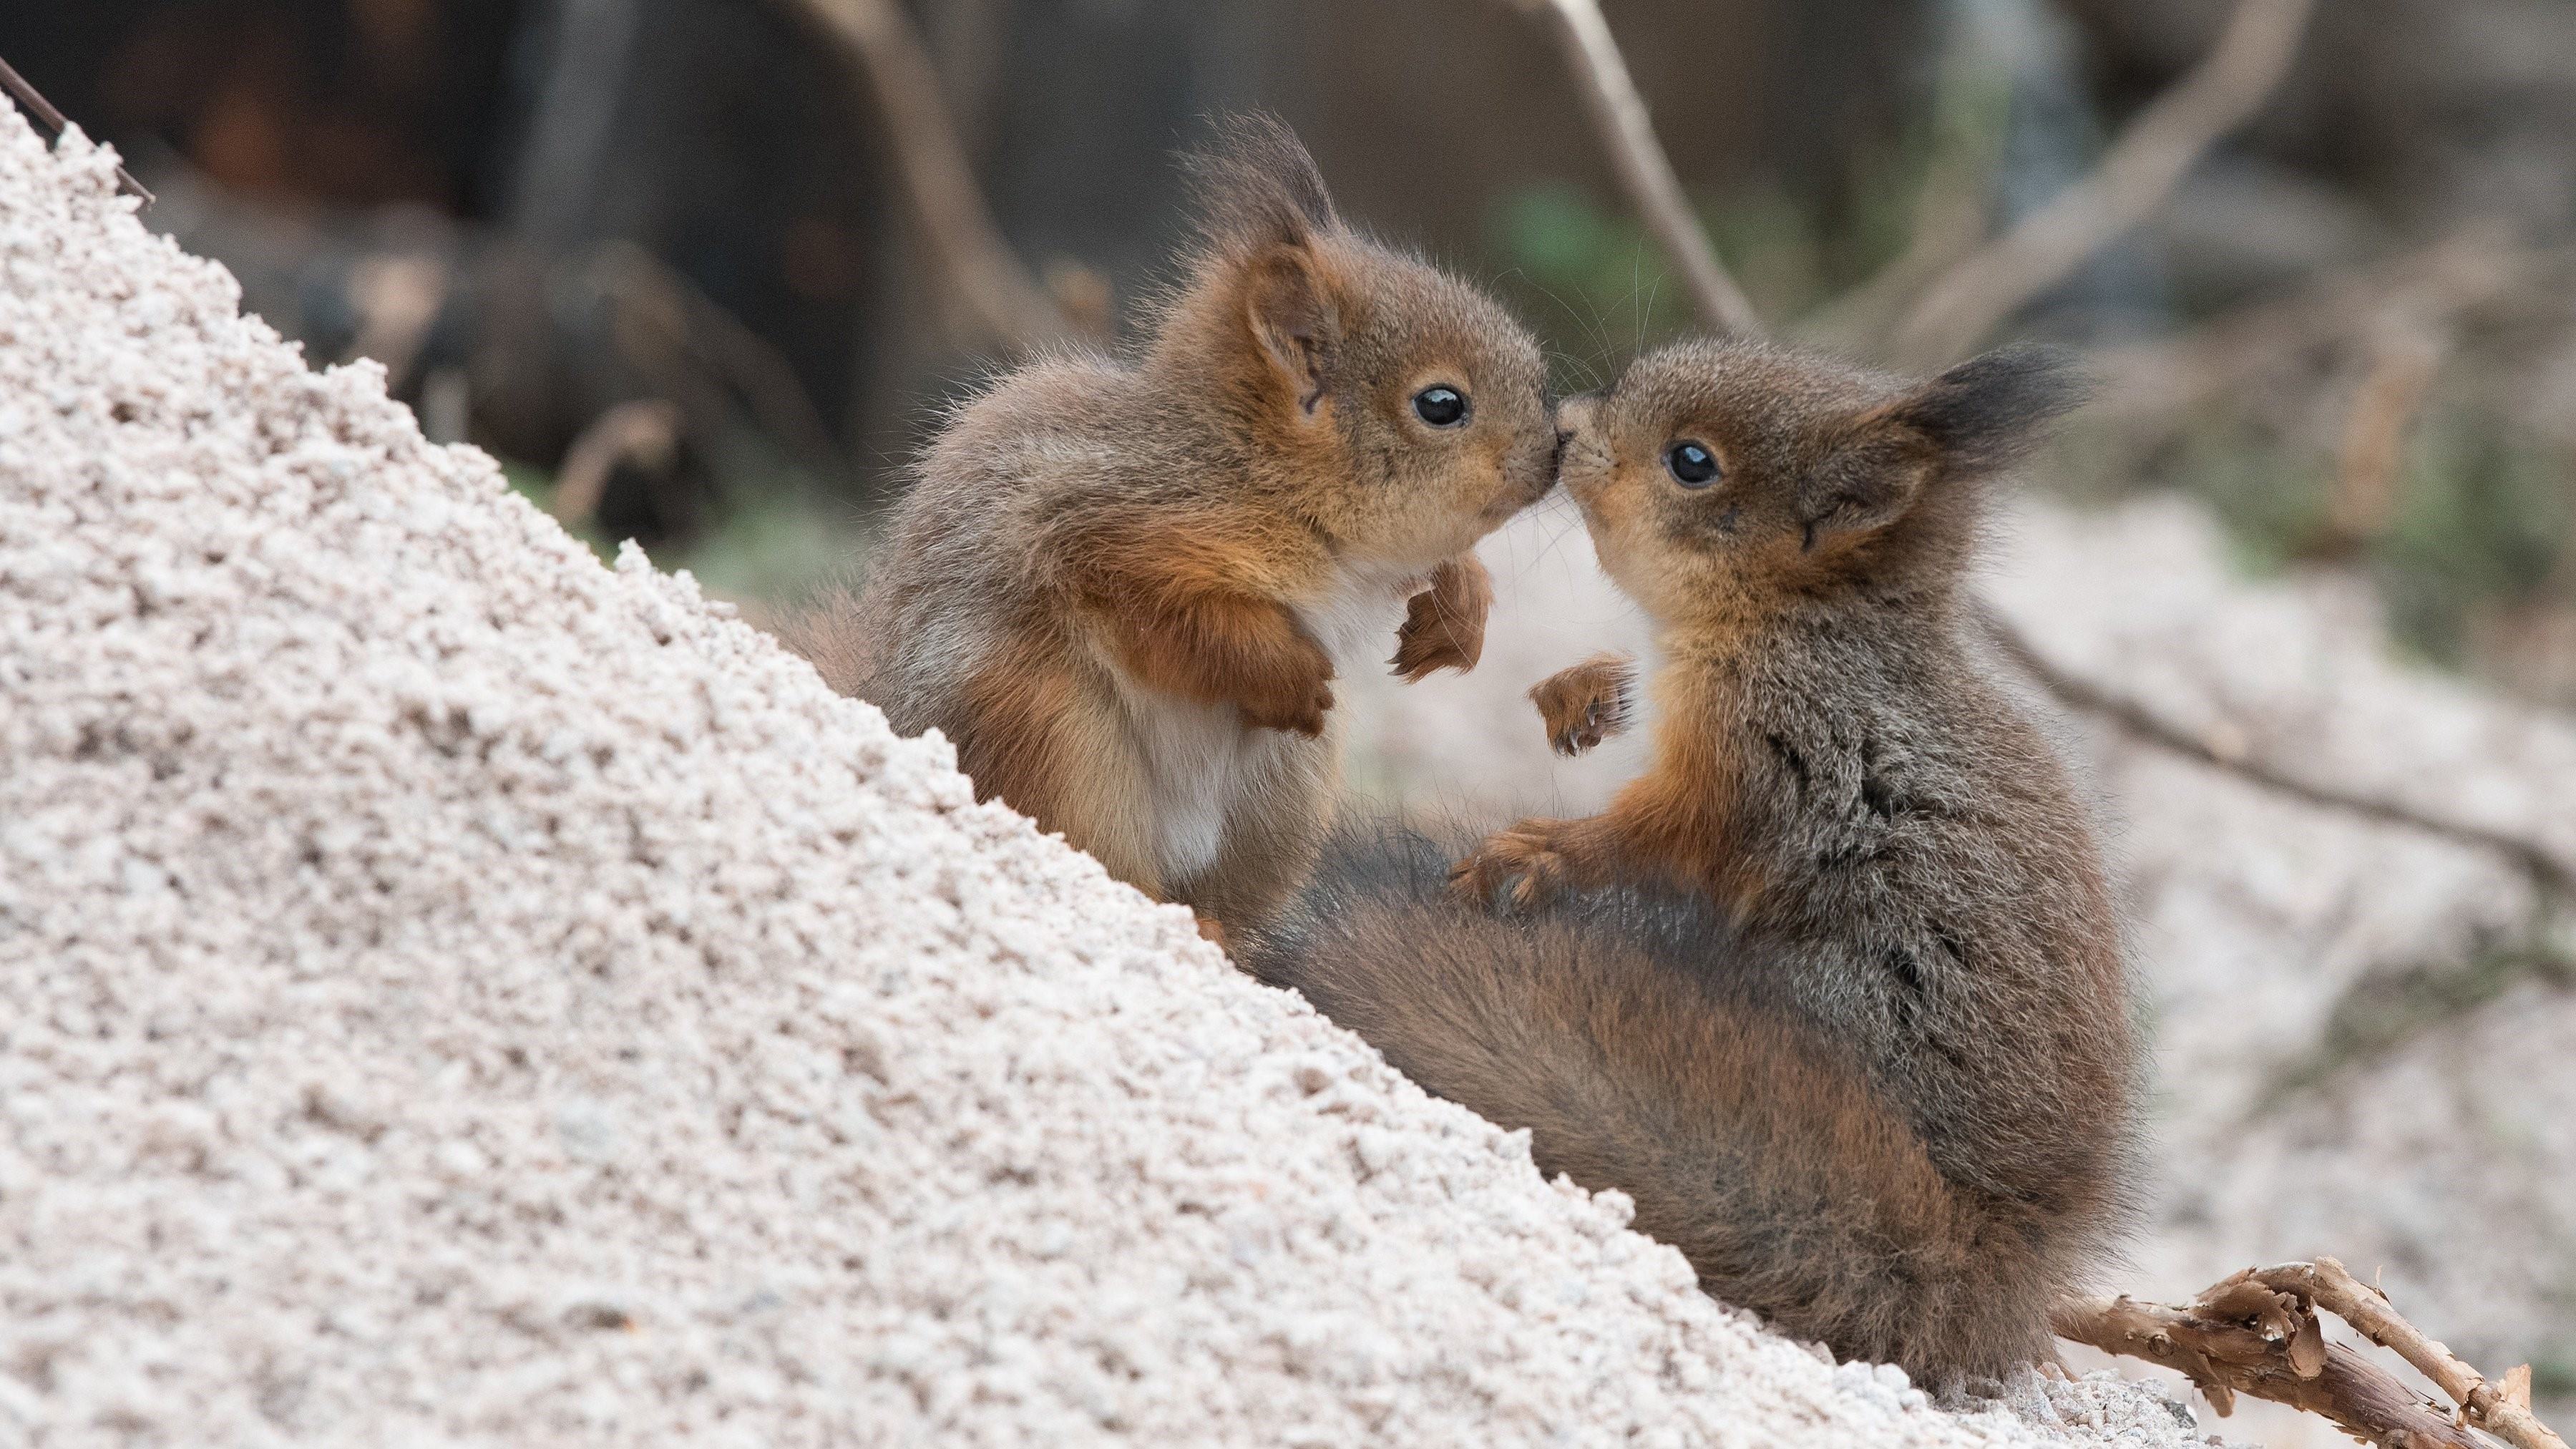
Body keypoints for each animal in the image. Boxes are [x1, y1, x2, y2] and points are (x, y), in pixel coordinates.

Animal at [773, 115, 1546, 938]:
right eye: (1441, 404)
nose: (1557, 451)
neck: (1250, 468)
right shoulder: (1103, 531)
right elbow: (1182, 622)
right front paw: (1286, 672)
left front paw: (1459, 611)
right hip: (1053, 735)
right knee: (1109, 871)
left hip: (1283, 796)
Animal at [1246, 335, 2132, 1371]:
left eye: (1693, 462)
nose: (1568, 428)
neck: (1799, 625)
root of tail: (1990, 1248)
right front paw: (1590, 691)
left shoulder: (1767, 754)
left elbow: (1658, 836)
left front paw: (1542, 853)